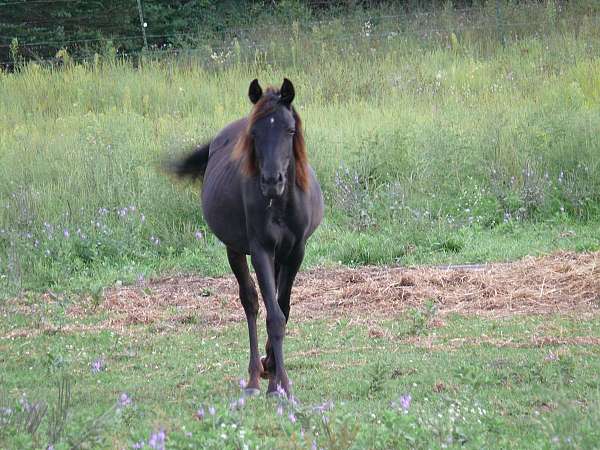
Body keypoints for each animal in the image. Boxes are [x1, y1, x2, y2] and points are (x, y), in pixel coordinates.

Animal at [169, 79, 324, 396]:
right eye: (255, 133)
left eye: (290, 130)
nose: (272, 181)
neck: (280, 205)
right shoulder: (261, 251)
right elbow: (273, 316)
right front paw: (280, 384)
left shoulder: (295, 253)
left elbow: (282, 308)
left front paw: (275, 374)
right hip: (235, 249)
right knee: (250, 302)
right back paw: (254, 377)